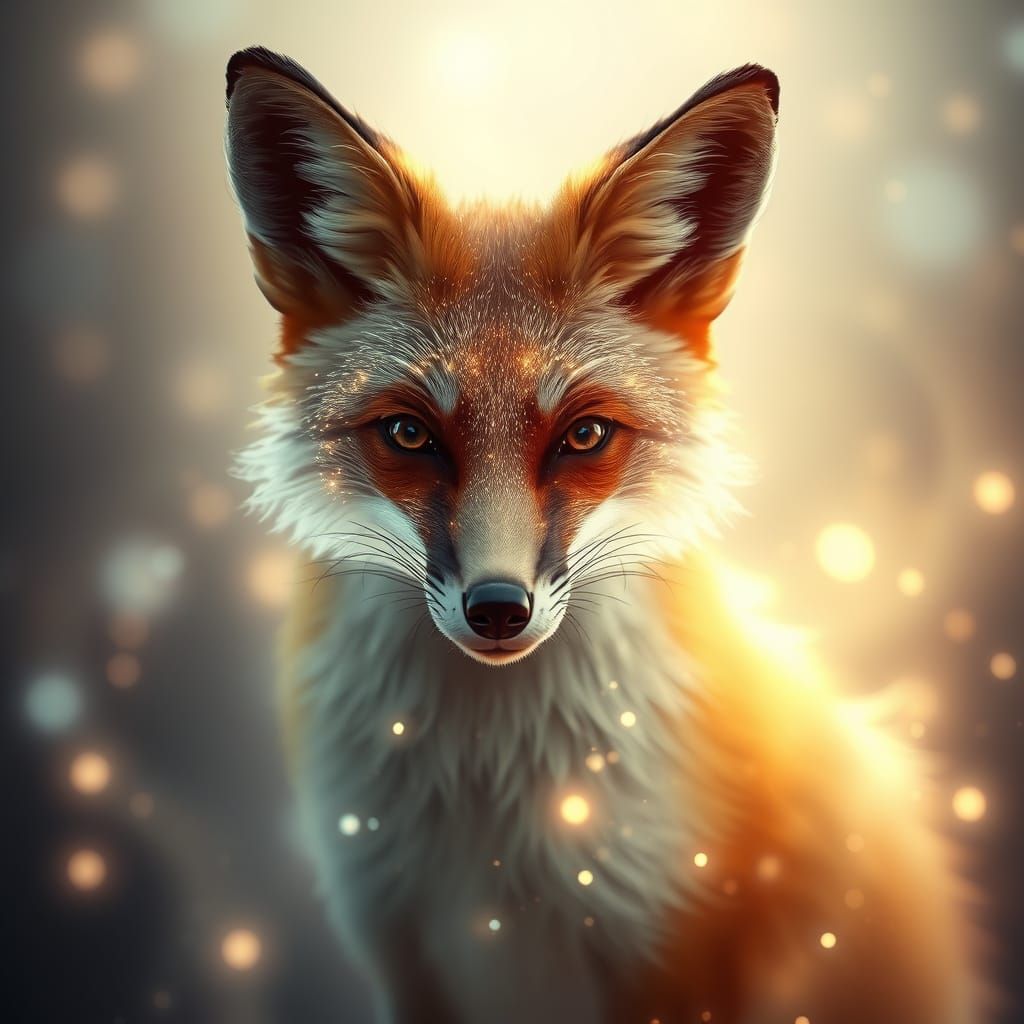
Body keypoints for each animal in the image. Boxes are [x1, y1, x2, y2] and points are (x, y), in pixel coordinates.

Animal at [224, 47, 985, 1024]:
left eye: (584, 435)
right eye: (408, 434)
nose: (498, 609)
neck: (492, 814)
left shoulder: (674, 942)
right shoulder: (403, 946)